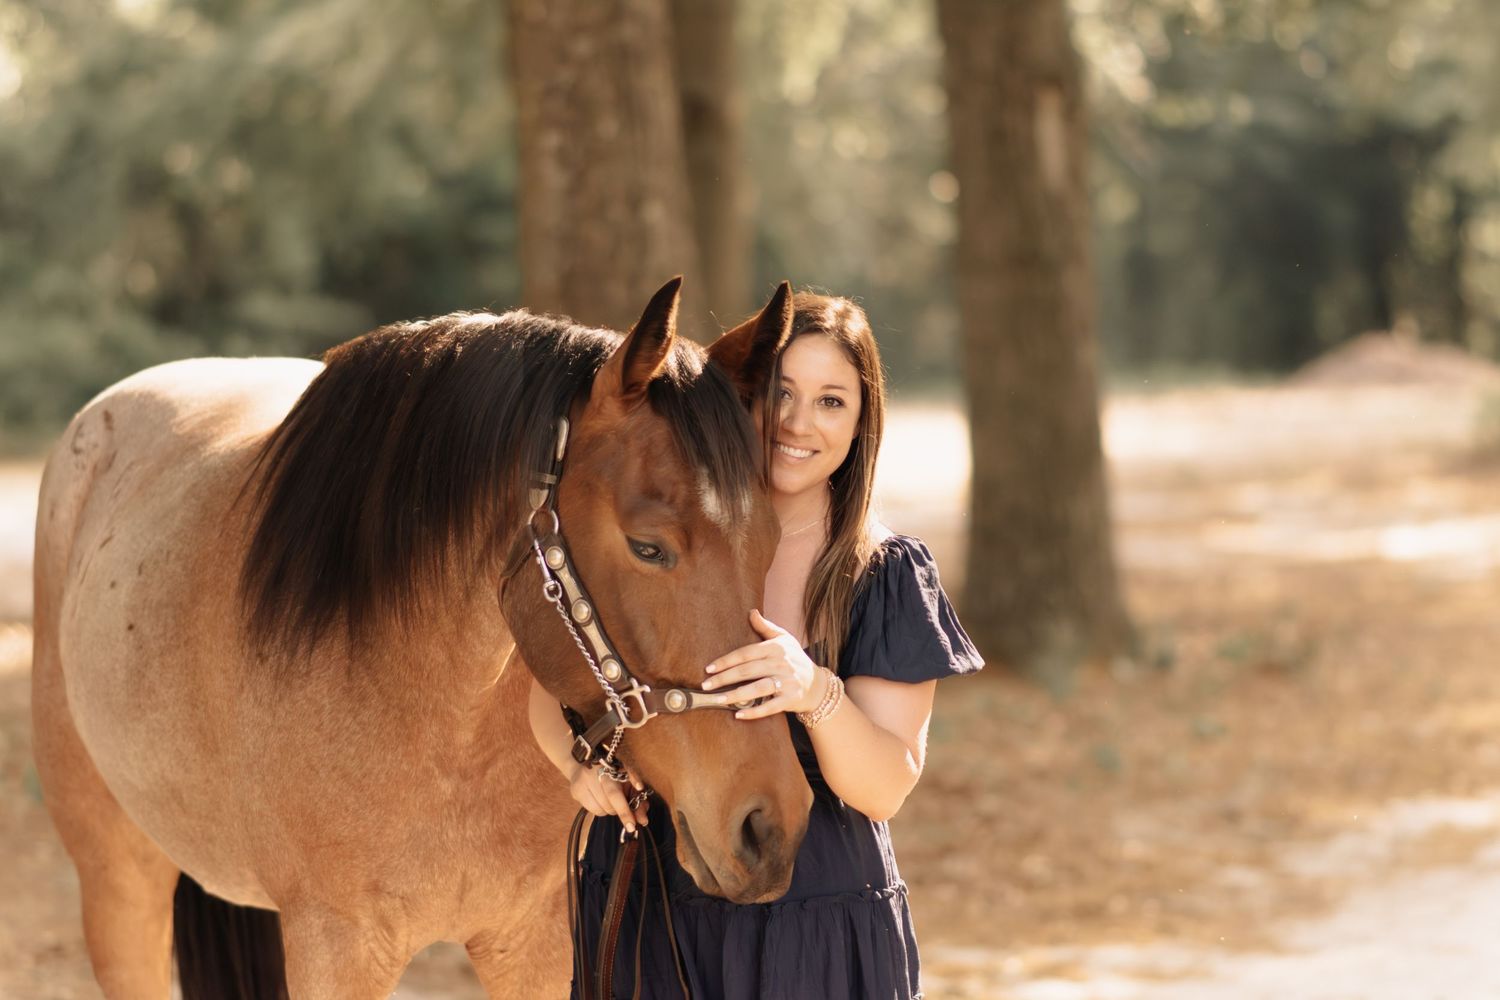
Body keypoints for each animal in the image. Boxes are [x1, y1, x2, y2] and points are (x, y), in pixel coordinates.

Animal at [31, 277, 814, 998]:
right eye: (648, 547)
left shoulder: (532, 944)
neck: (439, 717)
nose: (769, 827)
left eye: (772, 541)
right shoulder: (335, 948)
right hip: (118, 882)